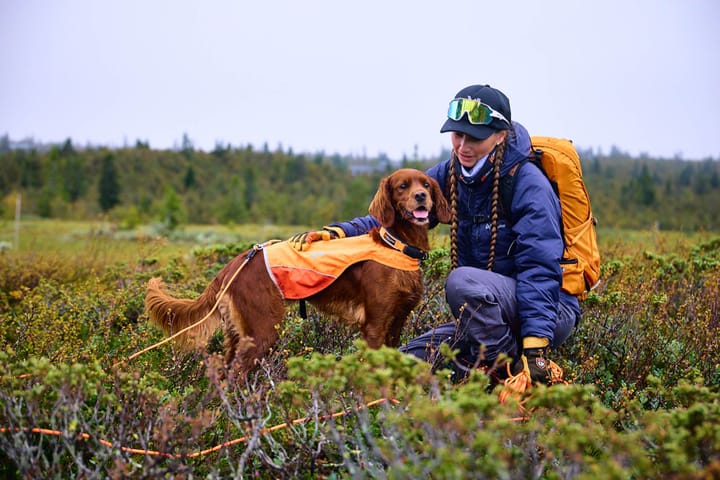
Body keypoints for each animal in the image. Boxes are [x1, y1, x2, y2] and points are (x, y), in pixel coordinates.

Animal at [145, 170, 450, 378]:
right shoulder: (374, 325)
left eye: (426, 184)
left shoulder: (397, 322)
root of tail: (235, 263)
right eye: (402, 186)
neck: (396, 245)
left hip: (238, 333)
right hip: (263, 330)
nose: (421, 197)